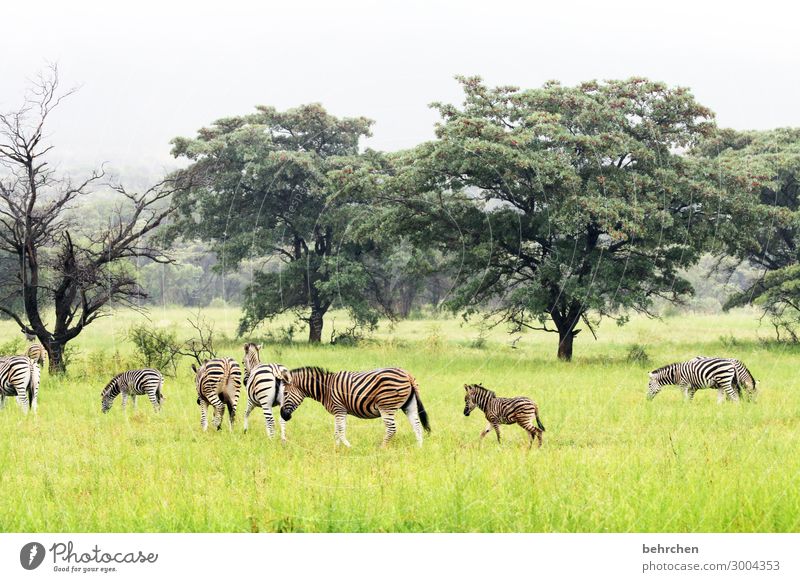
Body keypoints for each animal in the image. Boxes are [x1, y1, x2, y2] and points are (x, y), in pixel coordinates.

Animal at [282, 368, 432, 450]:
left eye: (284, 393)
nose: (283, 416)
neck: (325, 389)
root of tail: (407, 374)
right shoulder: (339, 412)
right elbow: (337, 431)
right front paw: (337, 449)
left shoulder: (339, 409)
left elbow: (340, 431)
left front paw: (349, 447)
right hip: (409, 405)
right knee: (417, 426)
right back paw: (419, 448)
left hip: (386, 406)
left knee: (391, 429)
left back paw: (381, 448)